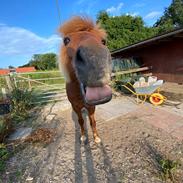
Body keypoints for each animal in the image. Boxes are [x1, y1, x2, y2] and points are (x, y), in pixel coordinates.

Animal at [59, 16, 112, 144]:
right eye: (66, 40)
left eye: (103, 41)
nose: (95, 59)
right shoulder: (76, 107)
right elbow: (81, 121)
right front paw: (83, 136)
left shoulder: (92, 107)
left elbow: (93, 121)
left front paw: (96, 137)